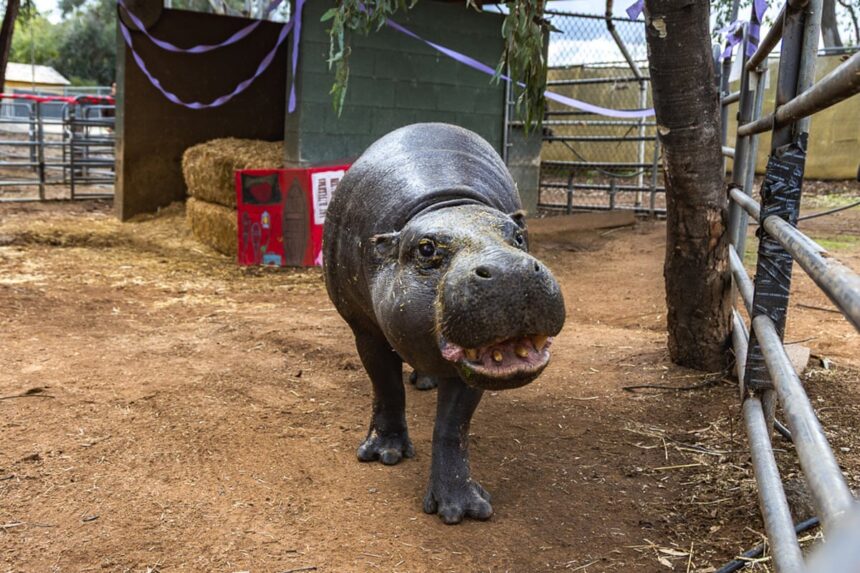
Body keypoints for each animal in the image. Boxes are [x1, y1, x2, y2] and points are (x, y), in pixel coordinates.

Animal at [323, 123, 566, 524]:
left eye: (517, 237)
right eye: (426, 248)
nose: (512, 270)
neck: (445, 204)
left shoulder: (472, 361)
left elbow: (454, 425)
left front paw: (460, 509)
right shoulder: (365, 330)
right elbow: (386, 385)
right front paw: (384, 455)